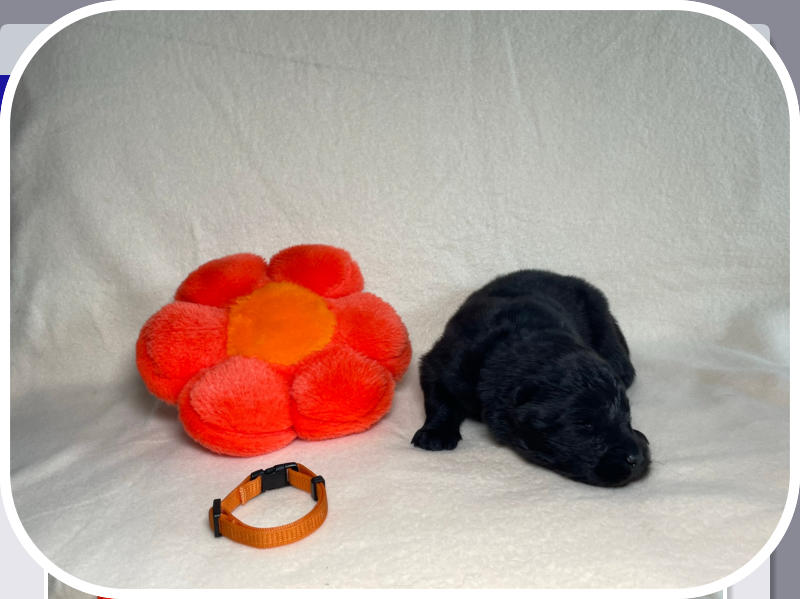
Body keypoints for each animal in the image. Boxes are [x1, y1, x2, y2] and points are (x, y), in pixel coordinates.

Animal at [411, 270, 650, 487]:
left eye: (627, 417)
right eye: (584, 425)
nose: (636, 458)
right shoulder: (444, 363)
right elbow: (439, 399)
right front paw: (435, 434)